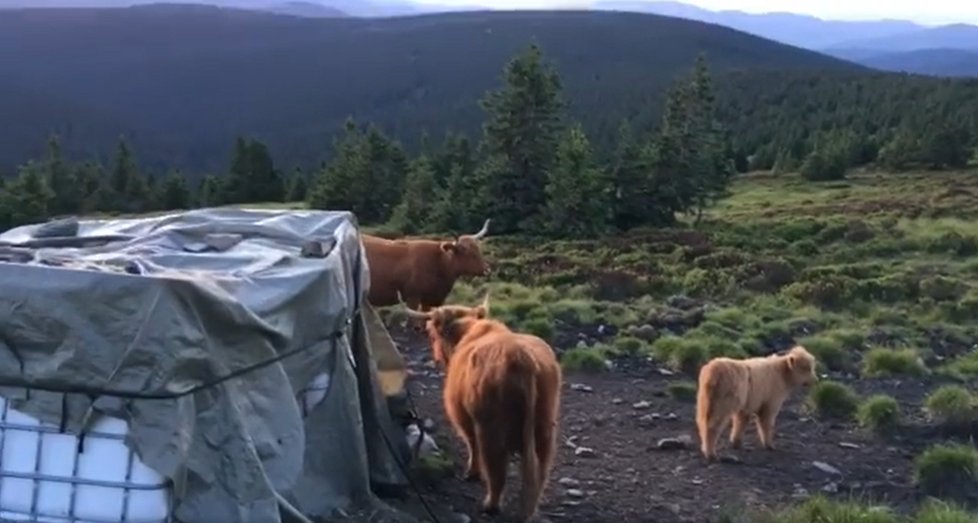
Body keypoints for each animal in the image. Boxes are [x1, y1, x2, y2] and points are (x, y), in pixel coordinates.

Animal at [362, 219, 492, 326]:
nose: (487, 270)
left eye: (478, 249)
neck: (439, 263)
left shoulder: (431, 300)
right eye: (467, 252)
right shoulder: (413, 297)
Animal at [396, 292, 560, 520]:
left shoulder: (461, 415)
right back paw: (528, 512)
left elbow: (471, 443)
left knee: (496, 469)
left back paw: (490, 505)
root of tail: (521, 359)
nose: (436, 356)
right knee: (540, 473)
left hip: (490, 428)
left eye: (432, 334)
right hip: (544, 428)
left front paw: (472, 472)